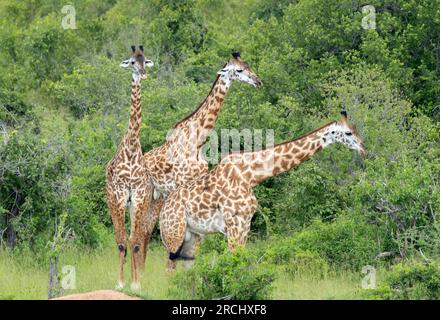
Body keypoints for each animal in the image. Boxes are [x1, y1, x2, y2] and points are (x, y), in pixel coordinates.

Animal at [141, 52, 262, 262]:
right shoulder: (181, 184)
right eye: (239, 70)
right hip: (142, 195)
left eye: (248, 65)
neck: (197, 139)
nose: (258, 81)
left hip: (157, 198)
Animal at [160, 111, 366, 268]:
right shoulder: (235, 224)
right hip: (174, 234)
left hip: (193, 236)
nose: (364, 149)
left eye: (356, 130)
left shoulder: (245, 224)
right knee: (169, 268)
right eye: (348, 133)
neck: (252, 175)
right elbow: (234, 260)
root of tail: (163, 209)